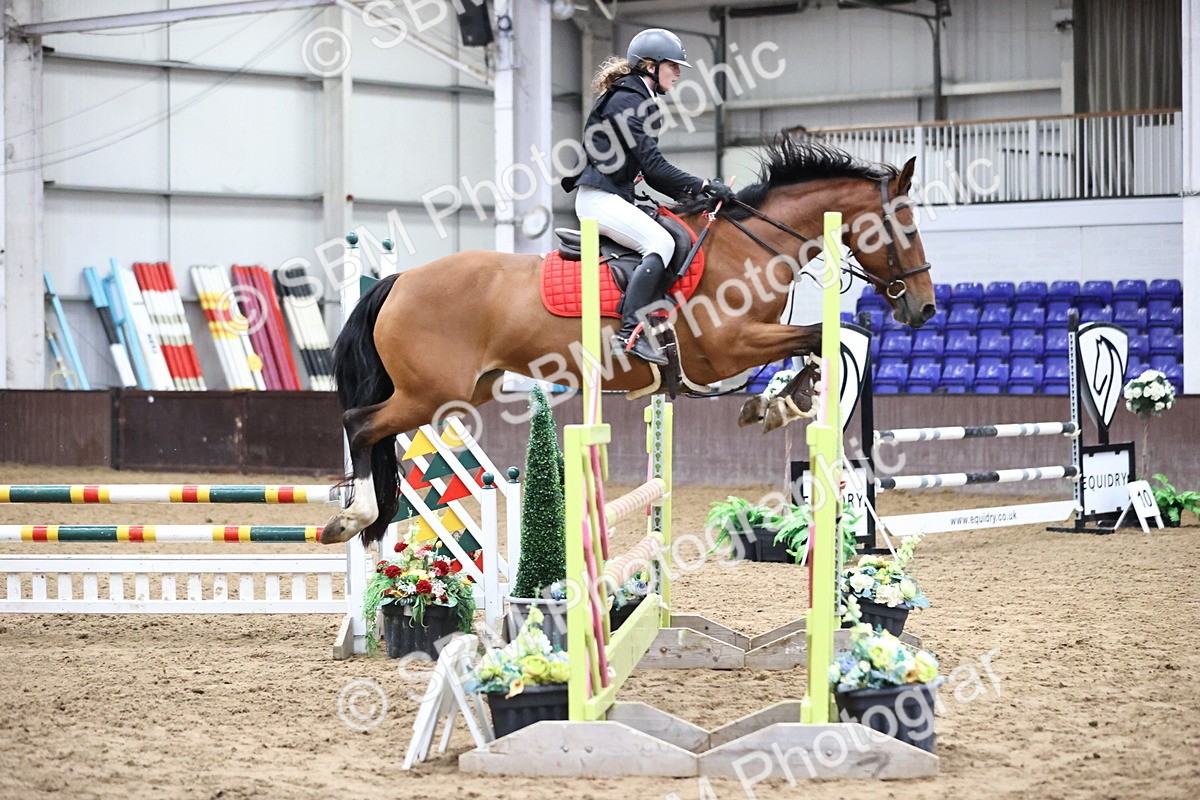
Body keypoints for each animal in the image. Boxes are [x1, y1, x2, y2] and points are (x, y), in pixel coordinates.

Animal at [321, 139, 936, 545]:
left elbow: (815, 343)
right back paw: (352, 518)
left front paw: (780, 402)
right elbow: (818, 336)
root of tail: (400, 281)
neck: (749, 246)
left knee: (375, 430)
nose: (924, 307)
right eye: (905, 228)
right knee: (360, 424)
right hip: (430, 391)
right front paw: (782, 402)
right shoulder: (728, 349)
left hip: (463, 391)